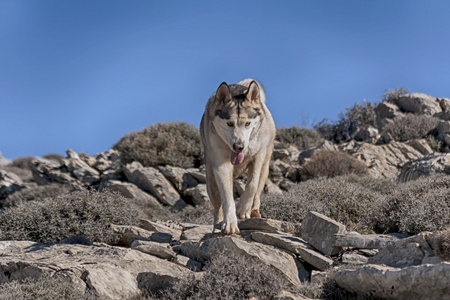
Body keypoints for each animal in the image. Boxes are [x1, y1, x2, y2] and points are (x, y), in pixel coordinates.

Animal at [201, 79, 278, 234]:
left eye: (247, 123)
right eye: (229, 123)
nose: (239, 146)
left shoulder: (258, 157)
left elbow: (252, 184)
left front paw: (243, 208)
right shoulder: (221, 165)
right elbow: (227, 197)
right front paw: (230, 223)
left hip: (265, 166)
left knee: (258, 190)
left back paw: (254, 211)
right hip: (211, 181)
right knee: (217, 208)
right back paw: (217, 226)